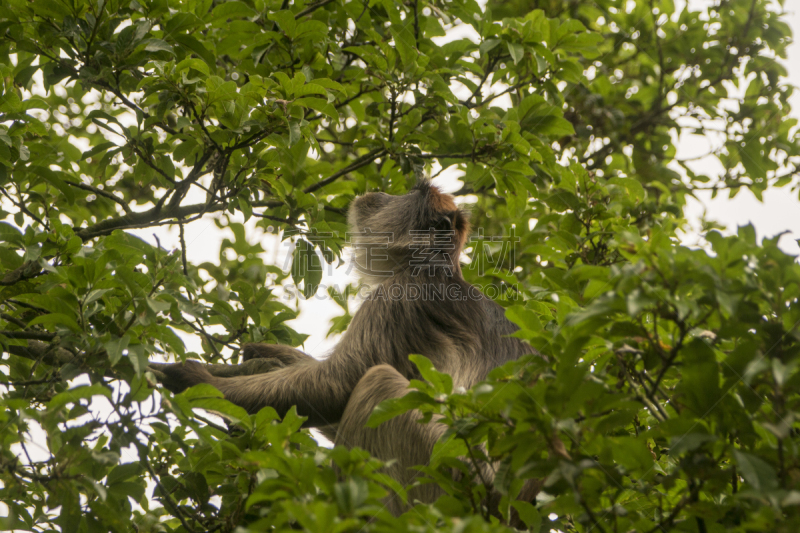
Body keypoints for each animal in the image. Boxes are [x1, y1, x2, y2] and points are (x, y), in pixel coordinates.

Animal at [152, 182, 536, 516]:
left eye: (413, 190)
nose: (383, 193)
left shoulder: (400, 297)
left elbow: (336, 386)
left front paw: (198, 382)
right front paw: (266, 356)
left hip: (444, 473)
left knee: (377, 382)